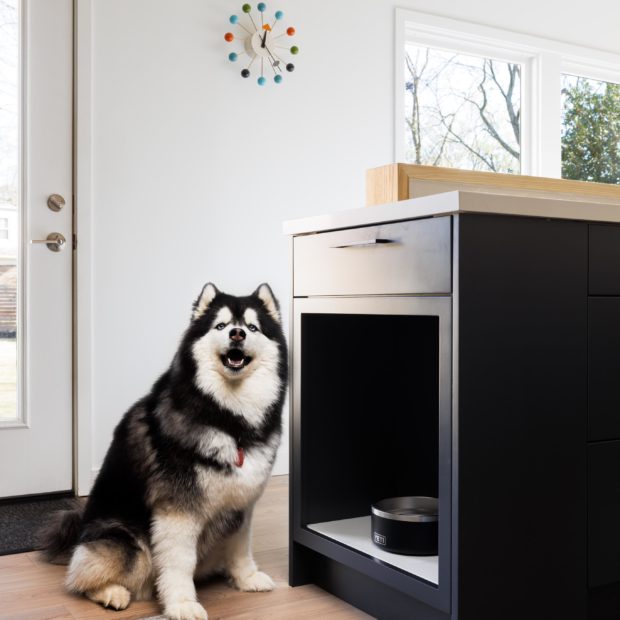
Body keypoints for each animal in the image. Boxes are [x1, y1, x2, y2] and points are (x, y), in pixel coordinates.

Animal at [41, 284, 288, 620]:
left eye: (252, 328)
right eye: (221, 326)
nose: (237, 334)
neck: (228, 418)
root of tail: (81, 529)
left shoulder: (241, 504)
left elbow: (240, 547)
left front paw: (246, 578)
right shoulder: (177, 511)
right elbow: (179, 563)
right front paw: (182, 604)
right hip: (127, 541)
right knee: (80, 576)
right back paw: (112, 593)